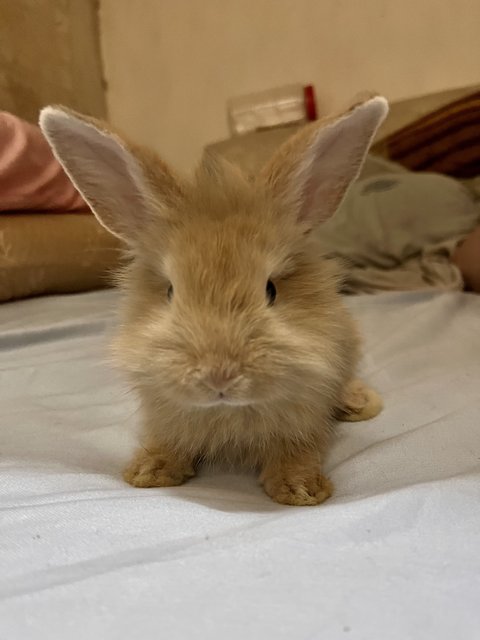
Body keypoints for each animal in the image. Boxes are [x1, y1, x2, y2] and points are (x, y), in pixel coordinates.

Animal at [39, 95, 388, 504]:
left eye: (271, 290)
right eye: (171, 292)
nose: (219, 376)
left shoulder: (305, 418)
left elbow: (298, 450)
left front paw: (299, 490)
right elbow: (167, 443)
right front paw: (148, 473)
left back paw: (361, 403)